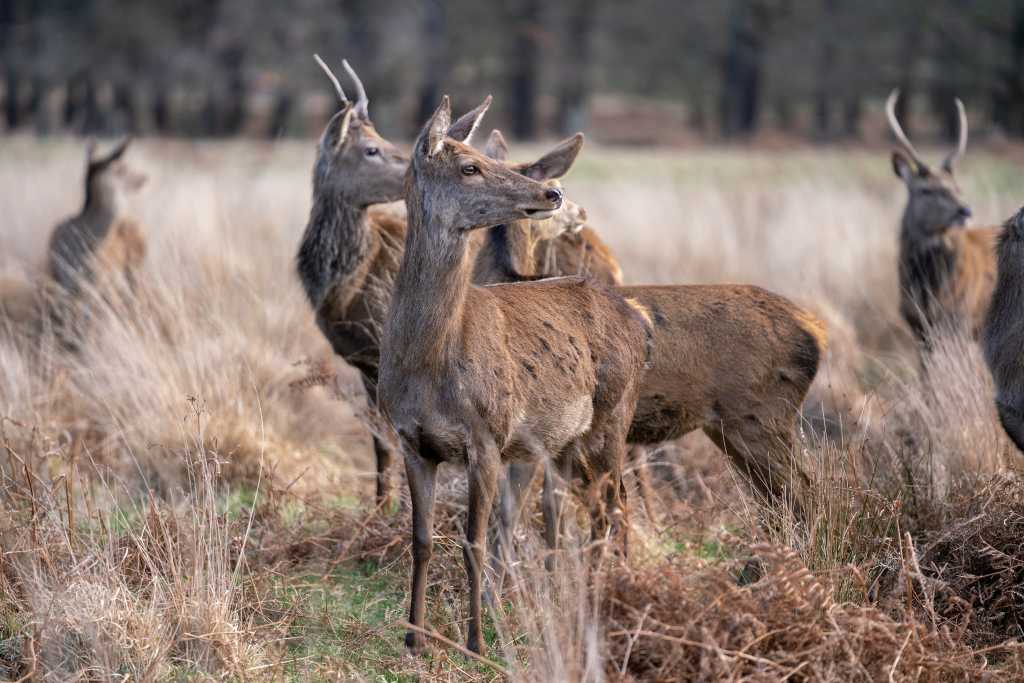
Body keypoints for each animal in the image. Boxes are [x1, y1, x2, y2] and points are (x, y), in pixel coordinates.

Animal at [380, 97, 651, 655]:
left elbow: (477, 542)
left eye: (483, 158)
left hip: (614, 418)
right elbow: (421, 540)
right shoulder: (412, 441)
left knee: (612, 505)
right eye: (469, 166)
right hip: (566, 441)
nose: (553, 192)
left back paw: (605, 598)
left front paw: (477, 641)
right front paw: (413, 637)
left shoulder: (487, 436)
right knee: (582, 508)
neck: (428, 363)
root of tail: (639, 318)